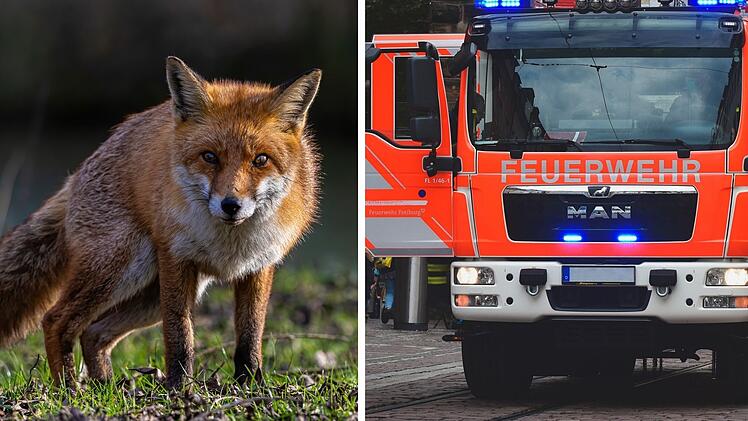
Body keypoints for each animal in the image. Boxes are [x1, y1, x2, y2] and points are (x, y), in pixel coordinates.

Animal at [0, 56, 321, 389]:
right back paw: (69, 389)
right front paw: (180, 387)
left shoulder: (259, 266)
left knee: (94, 332)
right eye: (209, 157)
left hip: (149, 295)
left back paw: (106, 386)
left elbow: (250, 335)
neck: (230, 243)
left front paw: (250, 383)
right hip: (121, 268)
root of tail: (76, 174)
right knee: (56, 320)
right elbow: (179, 334)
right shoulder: (176, 258)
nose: (231, 205)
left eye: (260, 160)